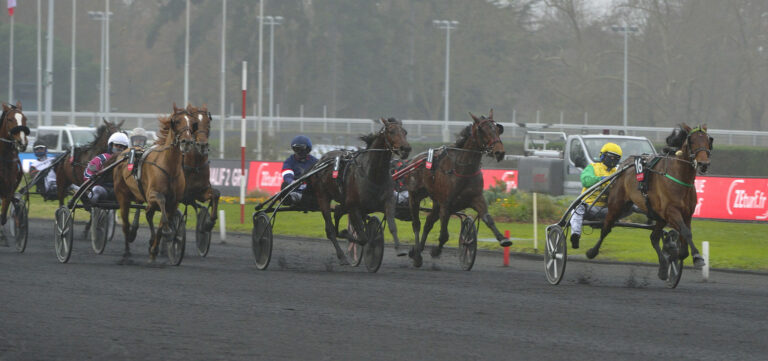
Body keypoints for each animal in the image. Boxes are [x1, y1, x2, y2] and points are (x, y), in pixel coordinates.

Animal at [112, 104, 195, 262]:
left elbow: (161, 221)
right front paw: (168, 231)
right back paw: (126, 252)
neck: (169, 168)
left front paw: (155, 249)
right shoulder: (153, 194)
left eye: (193, 123)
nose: (187, 142)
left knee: (147, 212)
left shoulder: (174, 201)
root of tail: (125, 152)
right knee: (126, 224)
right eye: (176, 121)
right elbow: (160, 202)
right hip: (122, 195)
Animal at [308, 116, 414, 262]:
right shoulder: (354, 207)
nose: (406, 148)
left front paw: (399, 249)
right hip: (323, 197)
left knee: (337, 212)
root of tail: (319, 162)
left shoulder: (388, 201)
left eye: (405, 132)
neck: (373, 175)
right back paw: (342, 255)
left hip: (342, 202)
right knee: (330, 229)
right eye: (391, 131)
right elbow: (363, 238)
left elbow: (392, 226)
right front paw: (347, 235)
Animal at [402, 109, 510, 268]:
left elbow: (487, 218)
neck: (462, 168)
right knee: (417, 224)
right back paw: (417, 256)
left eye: (497, 129)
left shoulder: (476, 198)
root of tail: (413, 161)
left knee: (428, 222)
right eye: (482, 130)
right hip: (415, 196)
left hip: (436, 202)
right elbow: (444, 235)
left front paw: (503, 238)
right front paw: (435, 251)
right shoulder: (446, 204)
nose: (499, 152)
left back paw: (417, 250)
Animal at [588, 122, 712, 278]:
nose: (703, 164)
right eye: (692, 141)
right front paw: (697, 256)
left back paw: (663, 266)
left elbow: (684, 238)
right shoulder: (671, 212)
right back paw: (592, 251)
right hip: (617, 205)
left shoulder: (686, 214)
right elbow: (686, 232)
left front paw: (676, 256)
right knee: (606, 228)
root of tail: (623, 167)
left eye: (708, 140)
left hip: (659, 217)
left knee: (654, 237)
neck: (679, 179)